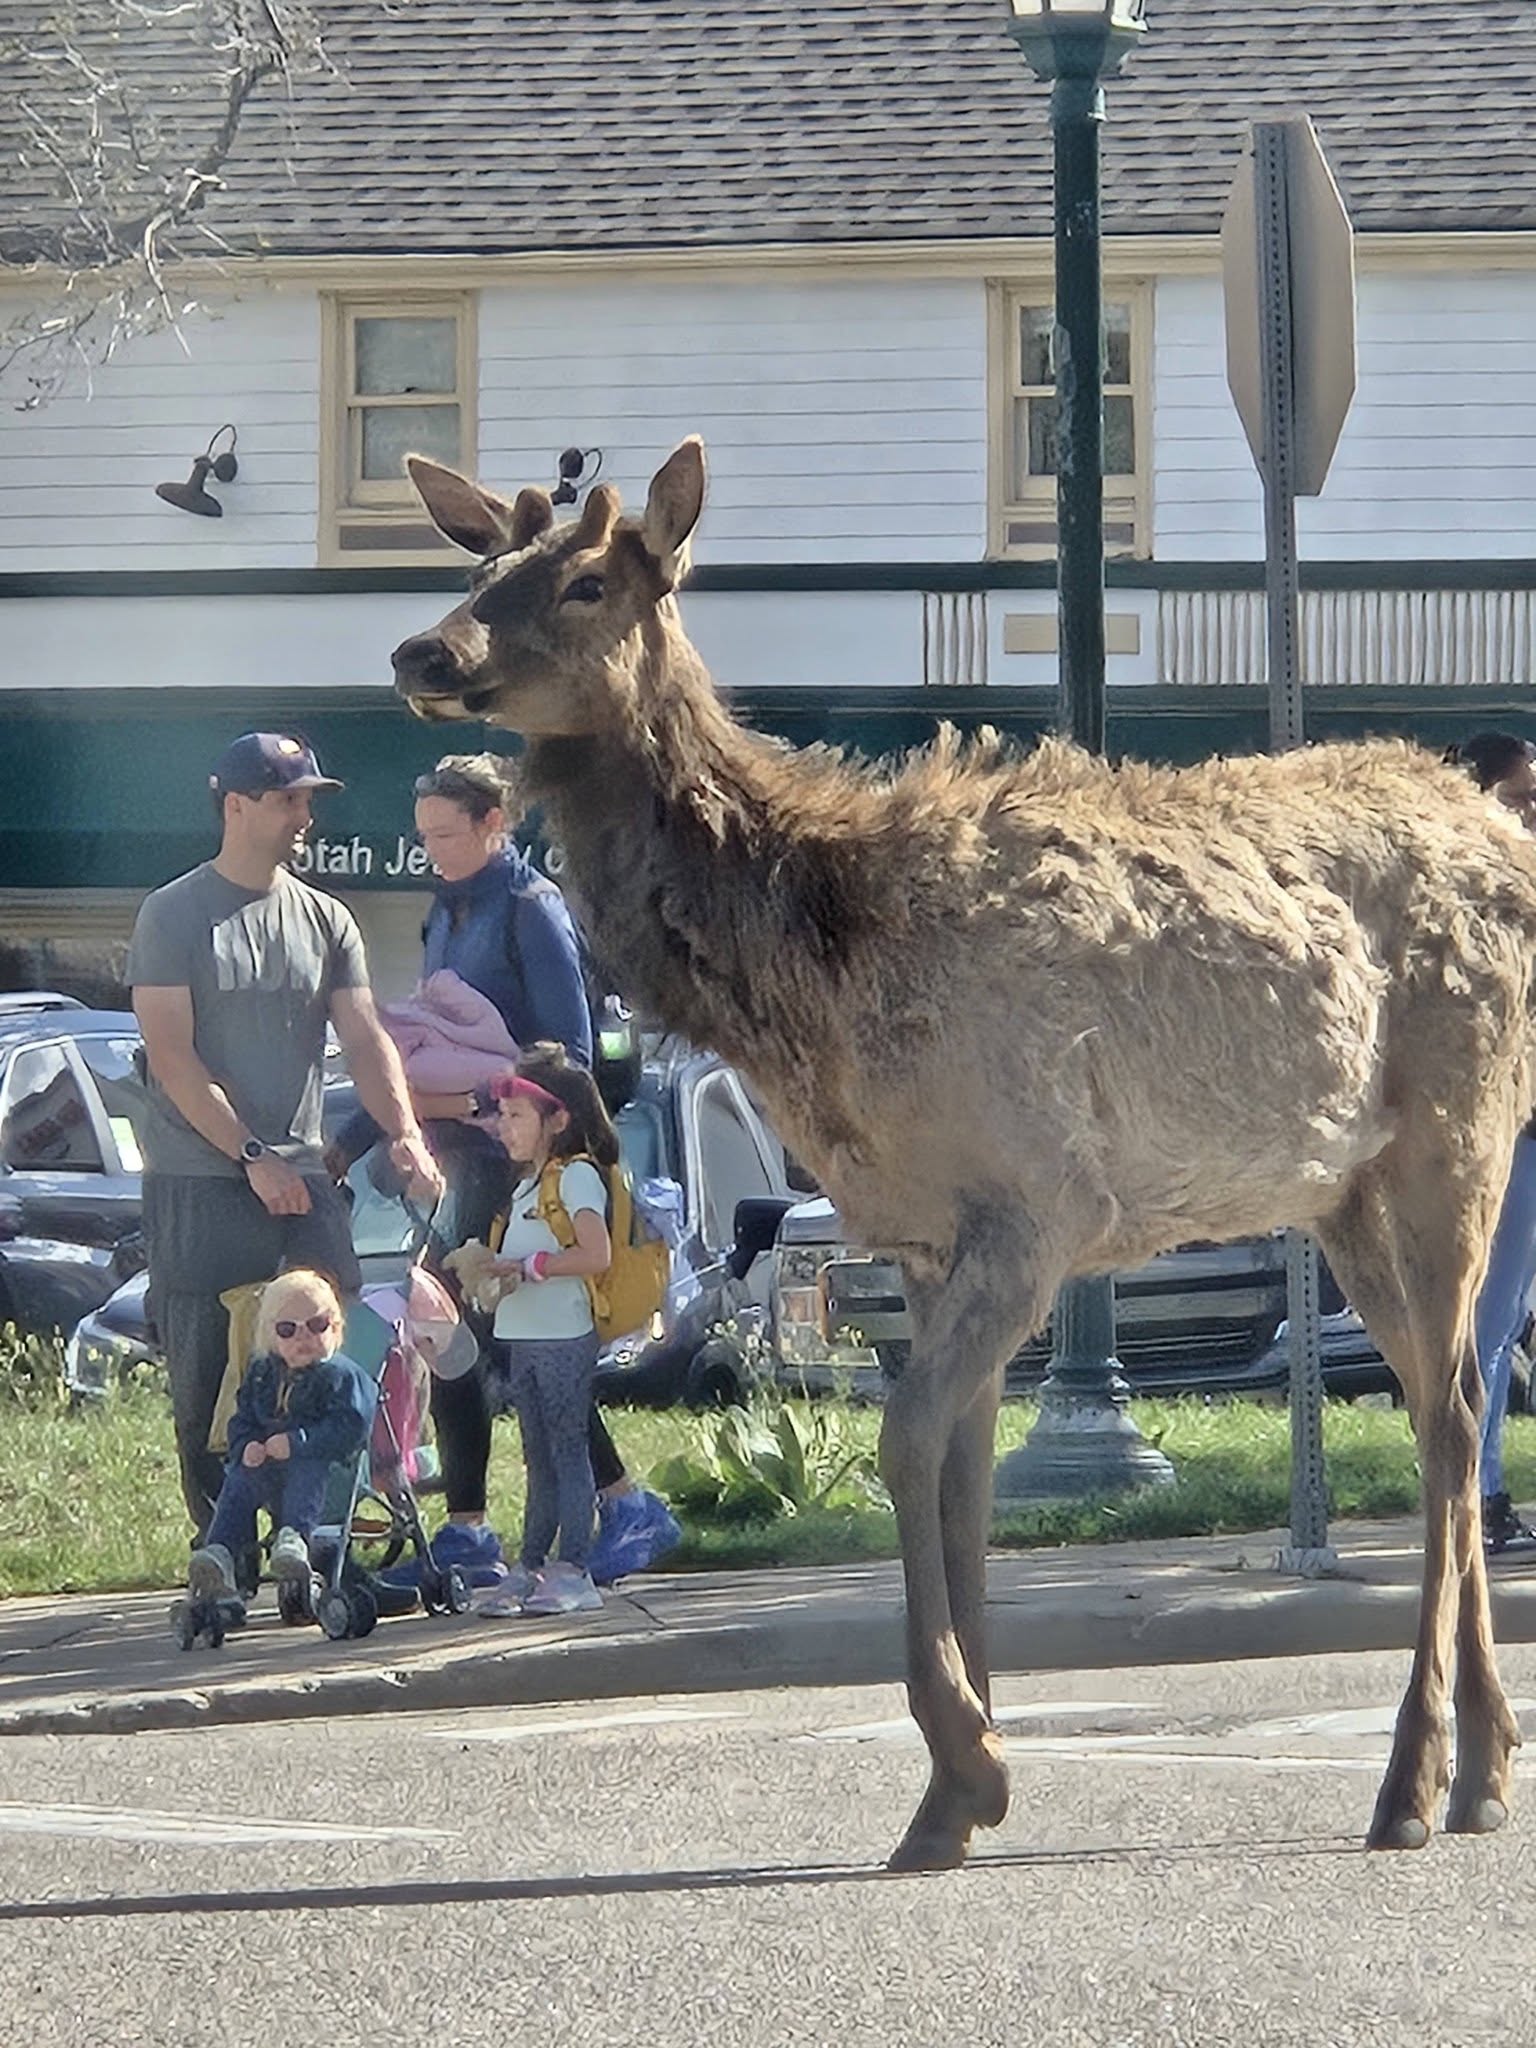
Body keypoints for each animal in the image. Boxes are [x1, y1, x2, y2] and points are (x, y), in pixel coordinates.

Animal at [390, 437, 1536, 1873]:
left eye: (588, 580)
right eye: (484, 563)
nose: (423, 651)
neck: (818, 974)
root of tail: (1508, 837)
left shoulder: (1037, 1206)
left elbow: (902, 1445)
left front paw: (973, 1763)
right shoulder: (928, 1238)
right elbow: (960, 1477)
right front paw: (949, 1791)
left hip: (1458, 1134)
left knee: (1452, 1415)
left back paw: (1414, 1777)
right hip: (1343, 1189)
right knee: (1456, 1398)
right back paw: (1482, 1767)